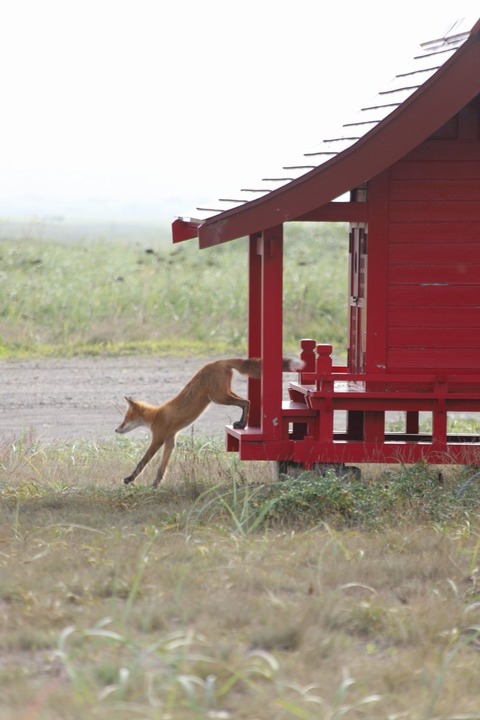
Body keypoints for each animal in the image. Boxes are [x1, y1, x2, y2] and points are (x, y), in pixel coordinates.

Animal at [115, 357, 303, 487]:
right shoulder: (170, 440)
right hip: (223, 394)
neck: (156, 415)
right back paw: (241, 423)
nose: (117, 430)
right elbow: (162, 467)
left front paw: (130, 479)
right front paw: (156, 484)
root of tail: (219, 361)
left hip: (218, 397)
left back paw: (241, 424)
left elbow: (142, 462)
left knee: (246, 402)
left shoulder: (158, 439)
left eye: (126, 419)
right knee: (246, 401)